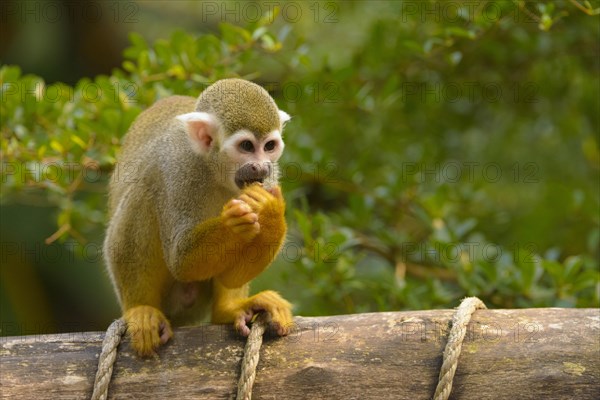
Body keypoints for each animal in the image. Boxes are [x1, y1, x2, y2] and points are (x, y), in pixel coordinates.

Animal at [104, 78, 294, 356]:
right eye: (246, 146)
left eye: (269, 146)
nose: (260, 166)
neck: (215, 170)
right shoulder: (178, 168)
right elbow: (181, 260)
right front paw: (233, 223)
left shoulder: (270, 177)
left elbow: (232, 275)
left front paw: (271, 213)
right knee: (143, 192)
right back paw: (140, 309)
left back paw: (228, 310)